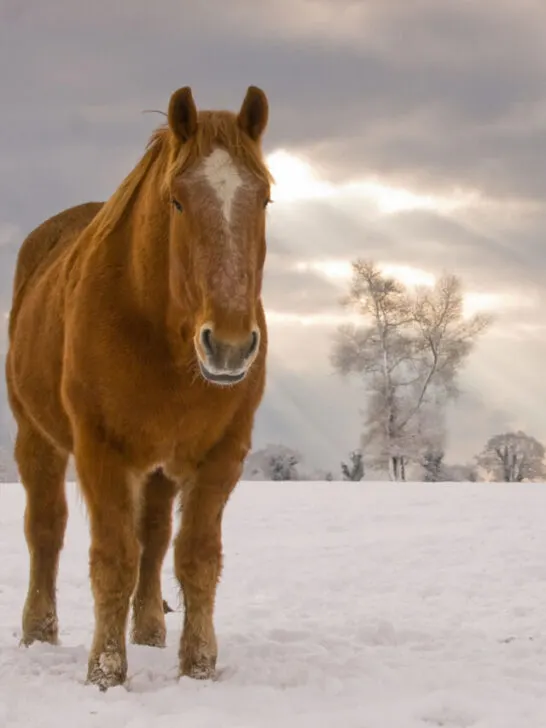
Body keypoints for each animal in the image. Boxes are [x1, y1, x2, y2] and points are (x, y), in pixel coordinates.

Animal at [5, 85, 273, 690]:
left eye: (265, 200)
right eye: (177, 201)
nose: (228, 346)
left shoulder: (222, 453)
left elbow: (194, 556)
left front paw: (198, 666)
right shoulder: (100, 449)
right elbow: (113, 559)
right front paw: (105, 673)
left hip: (159, 467)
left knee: (153, 538)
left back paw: (149, 629)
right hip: (36, 437)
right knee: (46, 530)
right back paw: (38, 631)